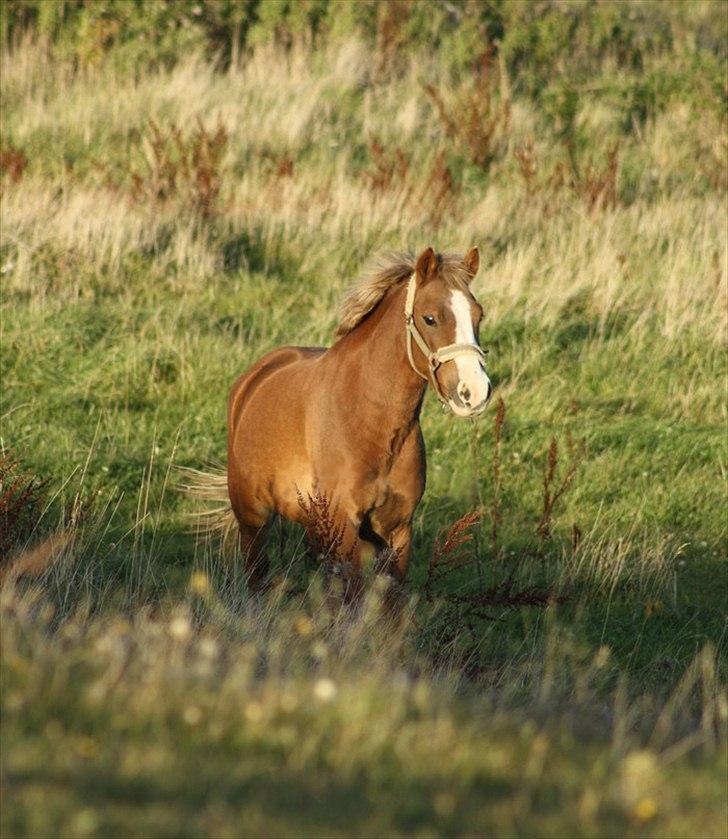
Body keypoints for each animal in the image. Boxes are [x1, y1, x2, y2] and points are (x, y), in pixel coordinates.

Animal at [205, 246, 492, 592]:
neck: (369, 421)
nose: (474, 392)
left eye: (478, 315)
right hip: (253, 521)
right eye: (430, 318)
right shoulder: (345, 525)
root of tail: (253, 379)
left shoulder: (396, 529)